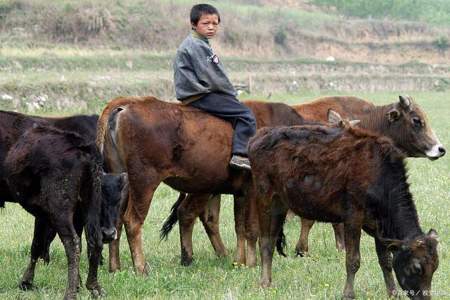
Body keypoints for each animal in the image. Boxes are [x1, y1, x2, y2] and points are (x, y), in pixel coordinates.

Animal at [3, 125, 125, 300]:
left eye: (118, 201)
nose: (110, 233)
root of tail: (84, 149)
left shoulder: (43, 216)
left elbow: (36, 244)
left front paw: (26, 282)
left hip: (60, 211)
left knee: (72, 243)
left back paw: (70, 293)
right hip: (88, 205)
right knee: (94, 240)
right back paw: (94, 287)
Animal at [248, 114, 438, 298]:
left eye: (435, 267)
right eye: (416, 268)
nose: (424, 297)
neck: (378, 174)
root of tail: (259, 136)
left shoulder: (379, 226)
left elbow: (386, 261)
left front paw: (392, 293)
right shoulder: (353, 217)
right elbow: (353, 260)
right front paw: (348, 294)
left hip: (280, 204)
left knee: (272, 240)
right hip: (265, 198)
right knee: (265, 241)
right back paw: (264, 283)